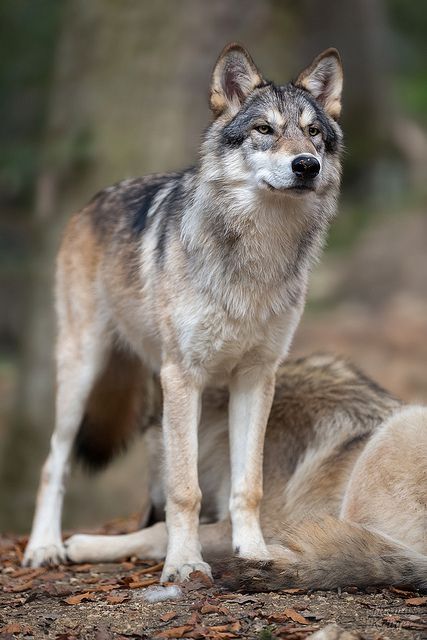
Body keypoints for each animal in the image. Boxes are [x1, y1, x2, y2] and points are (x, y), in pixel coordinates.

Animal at [23, 45, 344, 580]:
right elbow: (186, 489)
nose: (307, 165)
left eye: (314, 131)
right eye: (264, 129)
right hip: (82, 374)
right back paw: (44, 547)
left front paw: (253, 552)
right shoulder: (184, 376)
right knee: (54, 462)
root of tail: (90, 203)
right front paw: (184, 564)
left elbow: (248, 485)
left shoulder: (256, 377)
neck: (255, 259)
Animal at [64, 356, 427, 592]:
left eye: (153, 464)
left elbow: (156, 533)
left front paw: (83, 545)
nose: (146, 509)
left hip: (394, 433)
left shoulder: (249, 524)